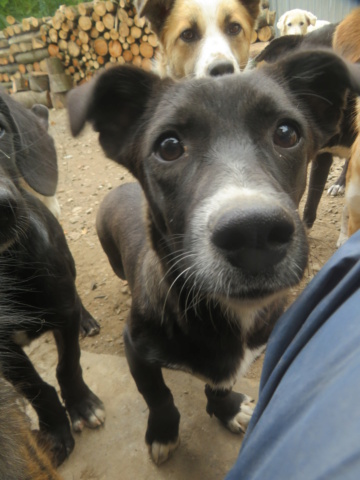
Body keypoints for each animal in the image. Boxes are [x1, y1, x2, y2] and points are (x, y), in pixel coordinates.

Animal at [0, 90, 105, 464]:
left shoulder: (63, 313)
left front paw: (82, 406)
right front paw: (55, 432)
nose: (1, 209)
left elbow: (68, 365)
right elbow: (35, 387)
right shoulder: (3, 351)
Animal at [67, 50, 360, 464]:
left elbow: (219, 386)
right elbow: (158, 396)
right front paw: (163, 432)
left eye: (287, 133)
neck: (225, 313)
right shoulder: (135, 347)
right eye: (168, 146)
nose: (253, 232)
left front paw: (227, 409)